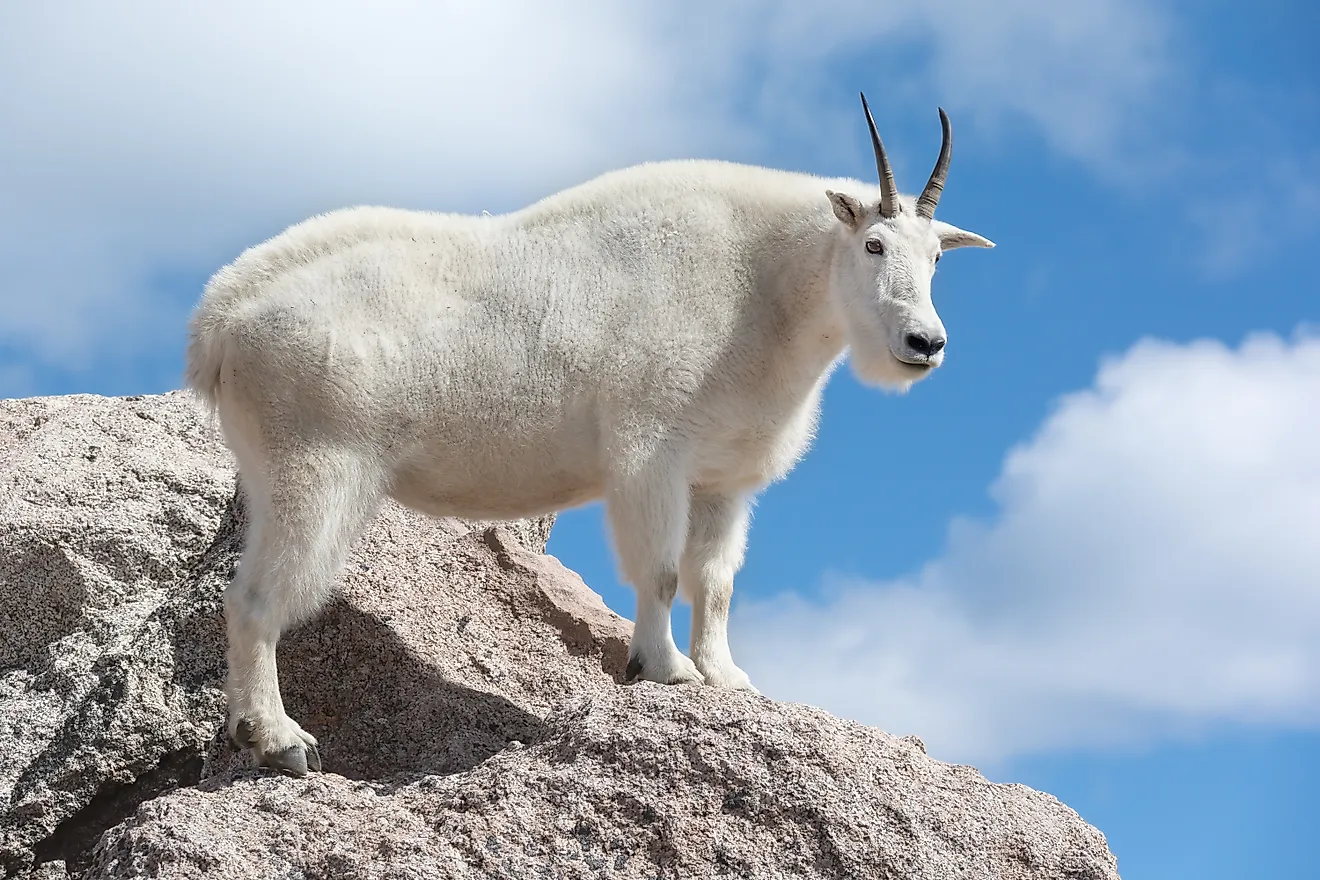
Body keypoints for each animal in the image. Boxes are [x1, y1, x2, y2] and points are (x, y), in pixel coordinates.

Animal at [185, 93, 994, 775]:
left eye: (937, 256)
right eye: (874, 246)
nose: (924, 343)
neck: (763, 290)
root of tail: (221, 318)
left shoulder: (722, 478)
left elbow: (716, 581)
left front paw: (728, 679)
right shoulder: (651, 452)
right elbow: (661, 571)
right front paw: (664, 670)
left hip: (270, 466)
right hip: (315, 463)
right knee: (253, 600)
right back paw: (278, 740)